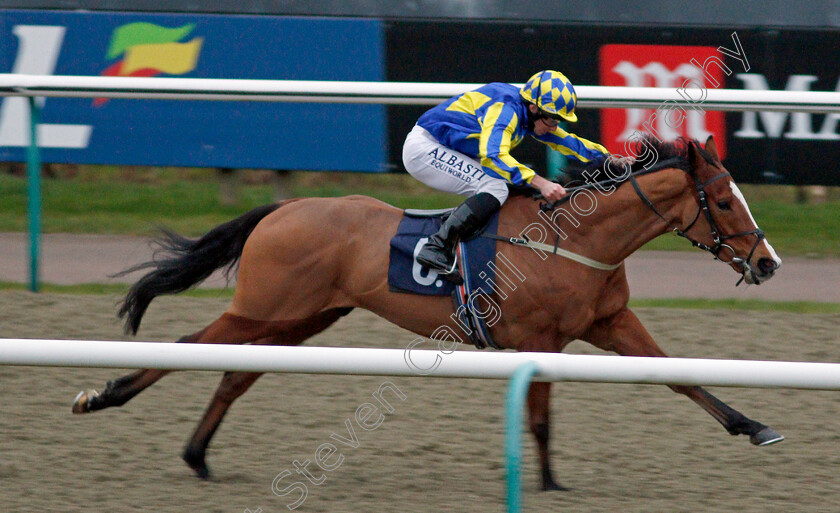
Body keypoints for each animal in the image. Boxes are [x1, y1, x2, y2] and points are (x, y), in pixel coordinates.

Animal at [70, 136, 780, 488]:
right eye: (722, 200)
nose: (768, 263)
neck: (576, 238)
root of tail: (285, 207)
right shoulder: (543, 340)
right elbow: (541, 415)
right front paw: (550, 483)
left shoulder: (609, 324)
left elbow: (680, 376)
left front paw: (753, 426)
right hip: (264, 308)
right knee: (192, 345)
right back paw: (105, 396)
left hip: (299, 318)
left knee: (234, 374)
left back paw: (197, 456)